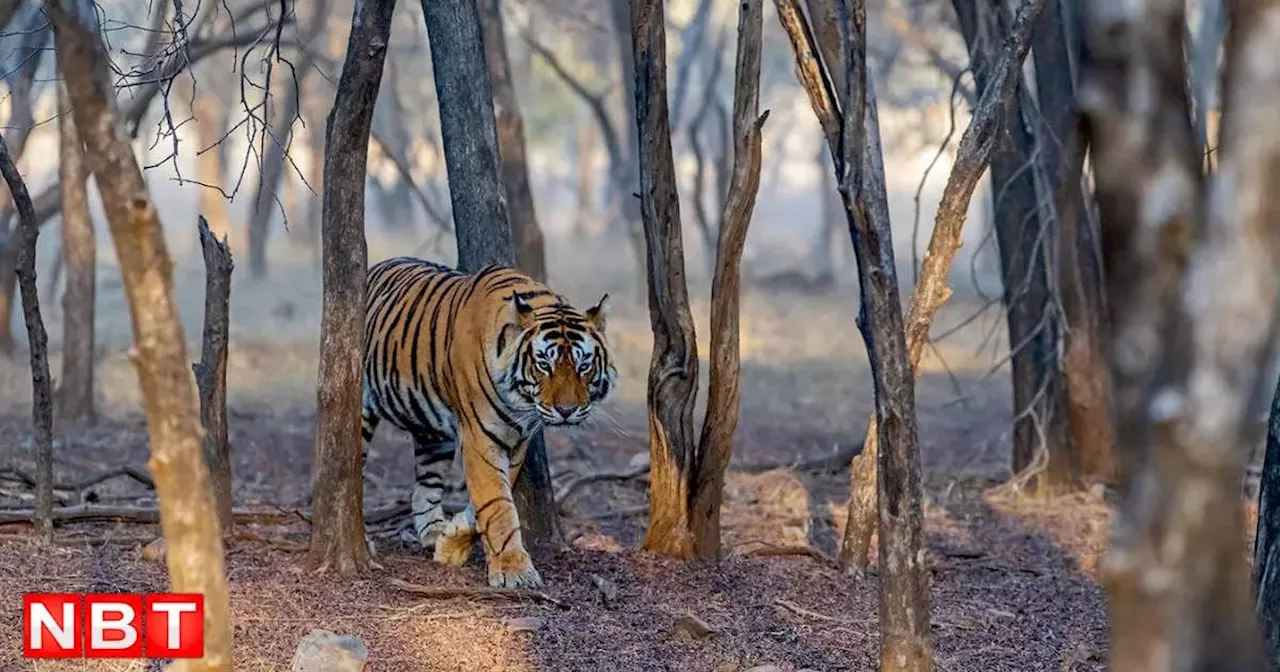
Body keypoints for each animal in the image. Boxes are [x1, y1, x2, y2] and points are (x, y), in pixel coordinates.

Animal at [360, 257, 619, 586]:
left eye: (583, 365)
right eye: (544, 364)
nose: (566, 410)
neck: (522, 404)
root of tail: (377, 265)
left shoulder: (517, 440)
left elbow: (490, 499)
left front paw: (451, 541)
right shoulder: (481, 437)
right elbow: (497, 504)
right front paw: (514, 571)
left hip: (433, 436)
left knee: (424, 490)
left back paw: (432, 534)